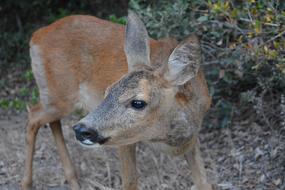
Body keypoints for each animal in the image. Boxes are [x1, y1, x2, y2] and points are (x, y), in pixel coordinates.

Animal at [22, 11, 212, 190]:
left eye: (138, 102)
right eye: (108, 91)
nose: (81, 130)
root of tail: (37, 35)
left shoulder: (193, 140)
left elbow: (204, 182)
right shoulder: (124, 139)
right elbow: (130, 183)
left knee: (50, 121)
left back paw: (73, 180)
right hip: (60, 97)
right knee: (33, 116)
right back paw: (27, 184)